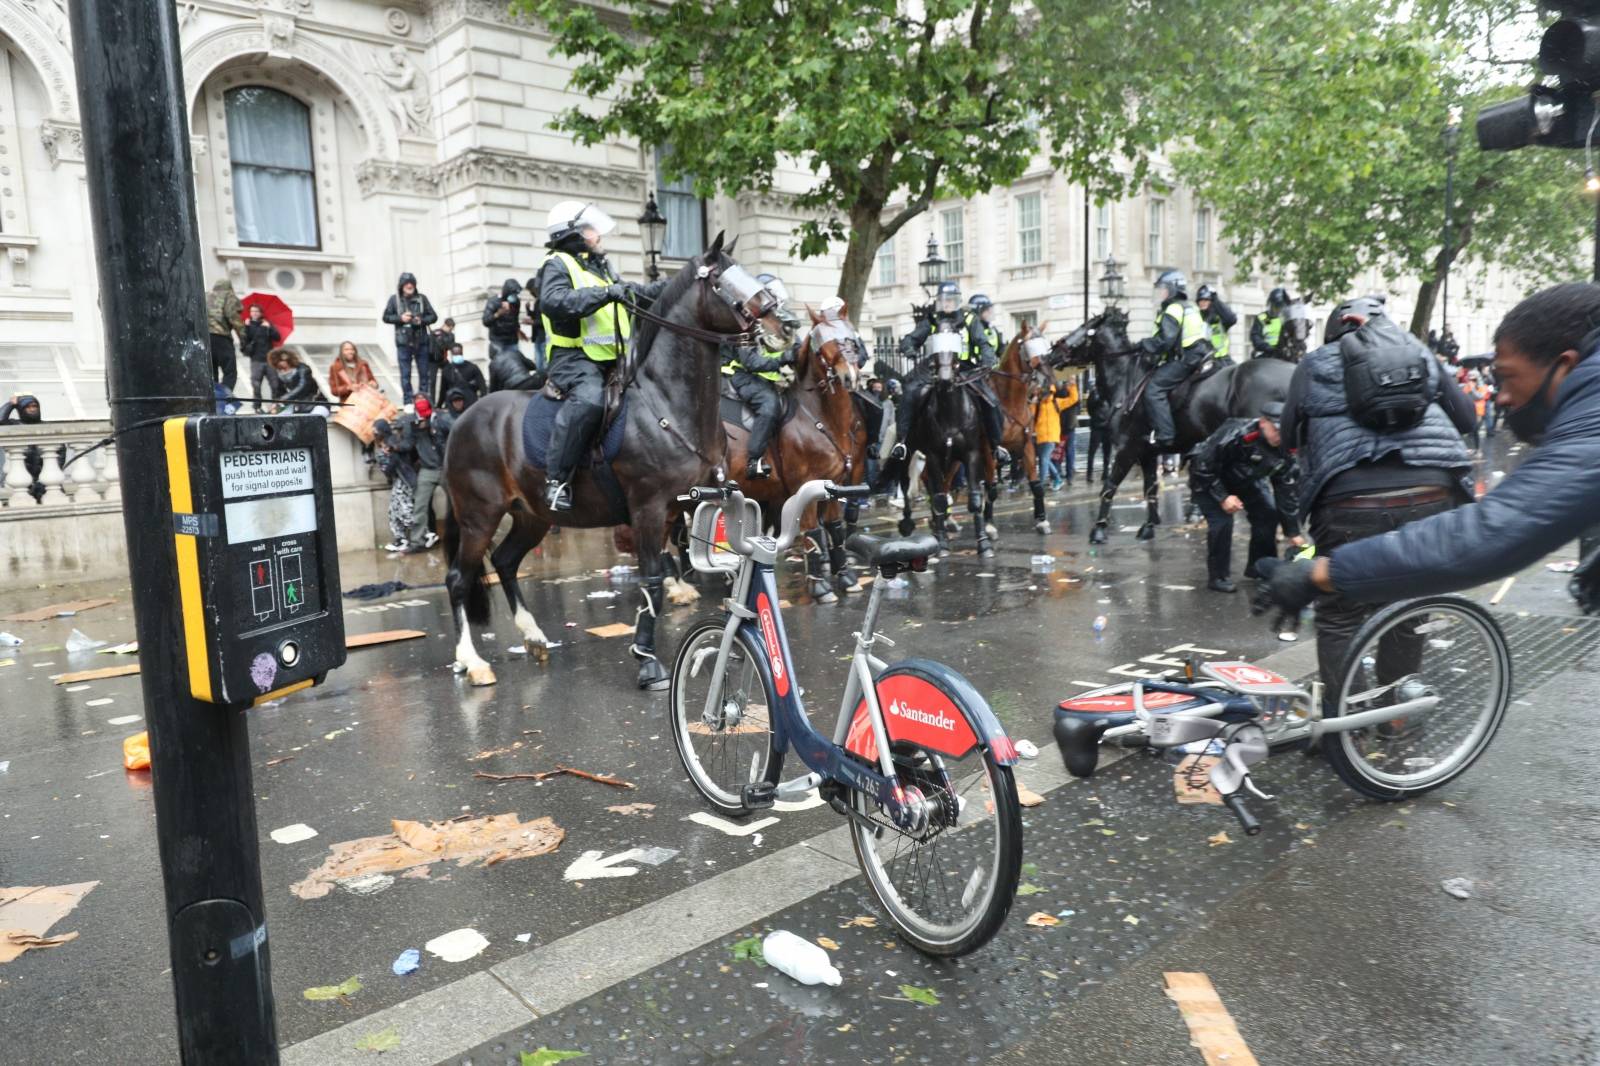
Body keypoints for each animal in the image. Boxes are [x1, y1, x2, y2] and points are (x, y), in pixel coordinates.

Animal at [441, 230, 790, 688]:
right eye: (720, 281)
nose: (785, 325)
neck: (668, 404)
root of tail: (462, 421)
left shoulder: (697, 505)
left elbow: (723, 568)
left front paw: (727, 646)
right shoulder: (647, 508)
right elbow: (652, 579)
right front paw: (646, 659)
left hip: (531, 515)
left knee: (505, 562)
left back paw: (533, 636)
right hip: (479, 517)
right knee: (459, 579)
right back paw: (472, 660)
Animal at [726, 308, 870, 605]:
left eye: (851, 337)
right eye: (822, 345)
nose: (850, 376)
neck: (819, 418)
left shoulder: (834, 487)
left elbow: (835, 529)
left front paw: (846, 578)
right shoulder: (803, 486)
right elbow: (811, 532)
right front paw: (820, 588)